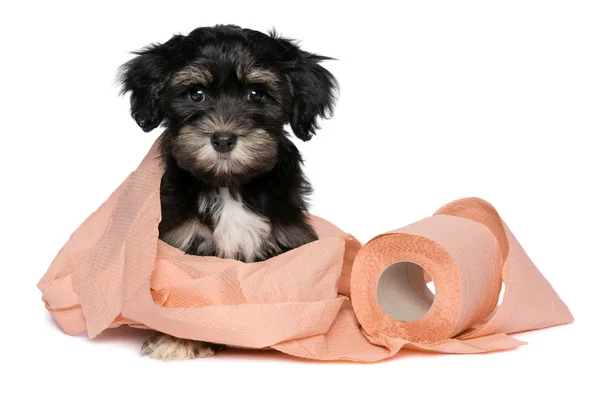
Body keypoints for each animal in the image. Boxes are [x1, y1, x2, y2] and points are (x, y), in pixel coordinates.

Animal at [118, 25, 338, 360]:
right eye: (196, 94)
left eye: (256, 94)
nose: (223, 138)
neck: (228, 184)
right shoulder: (184, 244)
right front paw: (178, 339)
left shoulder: (287, 240)